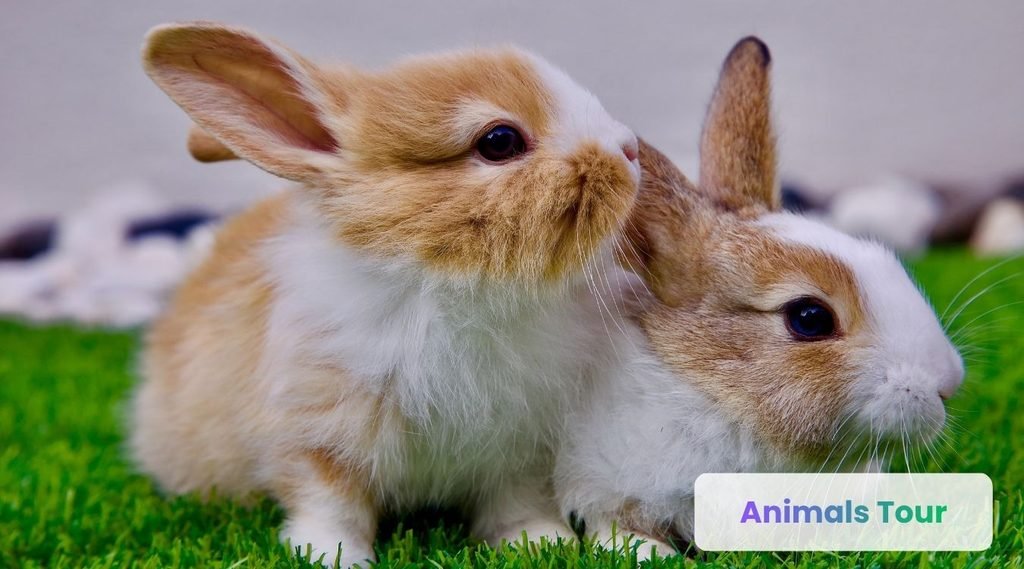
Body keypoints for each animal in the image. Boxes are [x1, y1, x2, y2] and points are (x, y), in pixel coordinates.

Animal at [130, 21, 643, 568]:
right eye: (499, 141)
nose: (630, 149)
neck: (453, 285)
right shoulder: (316, 438)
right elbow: (330, 507)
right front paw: (332, 558)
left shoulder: (521, 451)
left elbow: (514, 505)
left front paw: (541, 542)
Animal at [555, 37, 965, 558]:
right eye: (809, 317)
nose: (948, 383)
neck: (718, 399)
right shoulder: (597, 486)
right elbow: (617, 530)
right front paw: (655, 555)